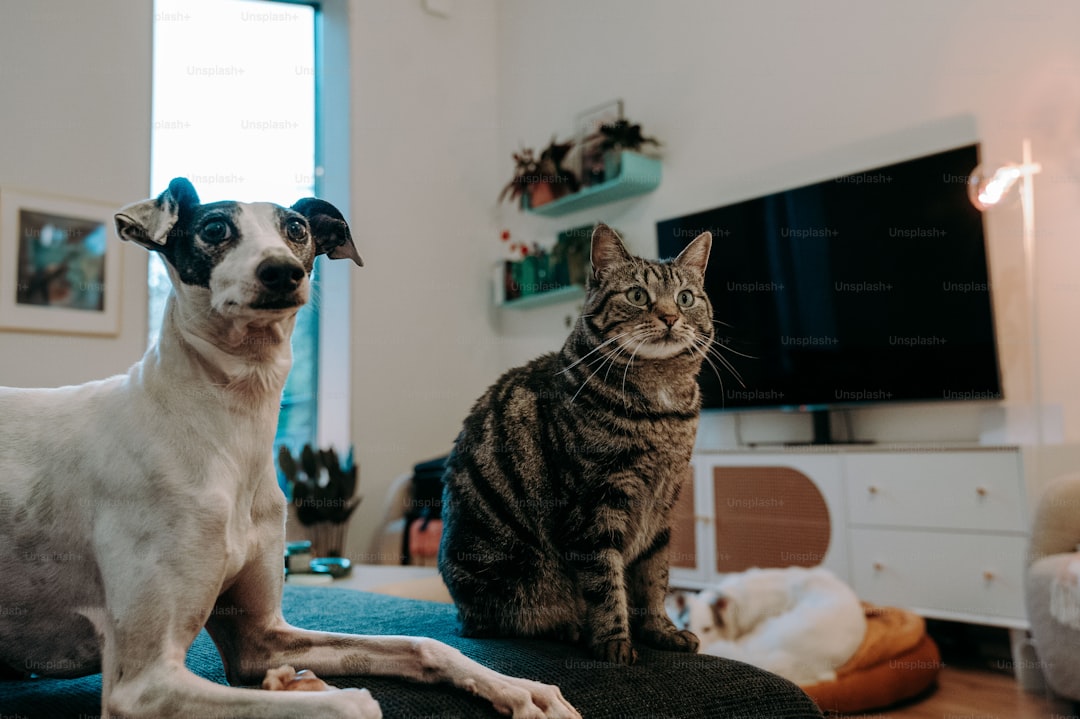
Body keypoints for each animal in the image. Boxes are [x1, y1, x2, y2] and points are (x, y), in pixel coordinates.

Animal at [0, 178, 578, 716]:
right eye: (214, 229)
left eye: (296, 229)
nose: (282, 272)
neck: (229, 437)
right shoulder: (142, 685)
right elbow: (351, 705)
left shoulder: (261, 639)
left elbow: (425, 643)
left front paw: (520, 688)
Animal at [434, 221, 712, 665]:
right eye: (638, 295)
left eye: (685, 298)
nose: (670, 317)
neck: (661, 409)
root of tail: (460, 617)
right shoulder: (594, 508)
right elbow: (606, 583)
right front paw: (615, 642)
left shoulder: (663, 509)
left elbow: (655, 578)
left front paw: (662, 631)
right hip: (508, 577)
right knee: (508, 620)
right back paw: (569, 628)